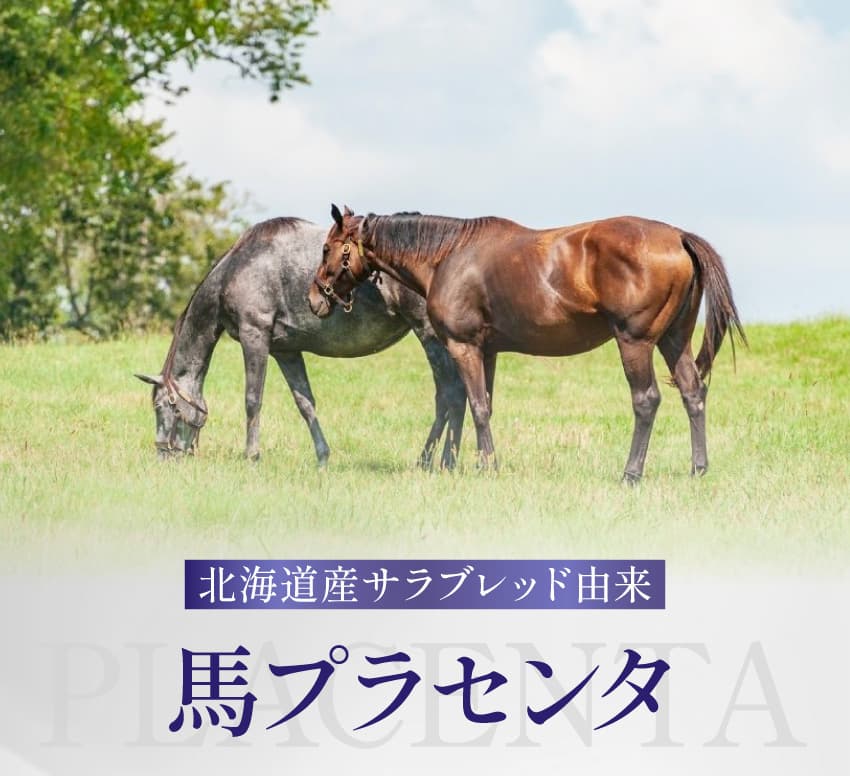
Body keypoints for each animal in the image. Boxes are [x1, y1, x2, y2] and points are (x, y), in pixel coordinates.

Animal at [136, 217, 466, 468]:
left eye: (163, 407)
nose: (163, 456)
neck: (238, 268)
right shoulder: (287, 351)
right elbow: (305, 403)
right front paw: (322, 458)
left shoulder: (254, 336)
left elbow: (252, 400)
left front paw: (251, 457)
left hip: (430, 336)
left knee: (449, 394)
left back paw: (434, 461)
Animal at [308, 205, 746, 483]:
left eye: (327, 248)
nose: (315, 298)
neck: (448, 255)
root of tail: (678, 237)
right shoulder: (487, 351)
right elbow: (480, 405)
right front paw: (479, 463)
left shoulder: (464, 347)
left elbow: (476, 406)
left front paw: (488, 468)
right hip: (674, 341)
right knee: (693, 393)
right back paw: (698, 469)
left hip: (635, 342)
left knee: (647, 400)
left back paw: (631, 473)